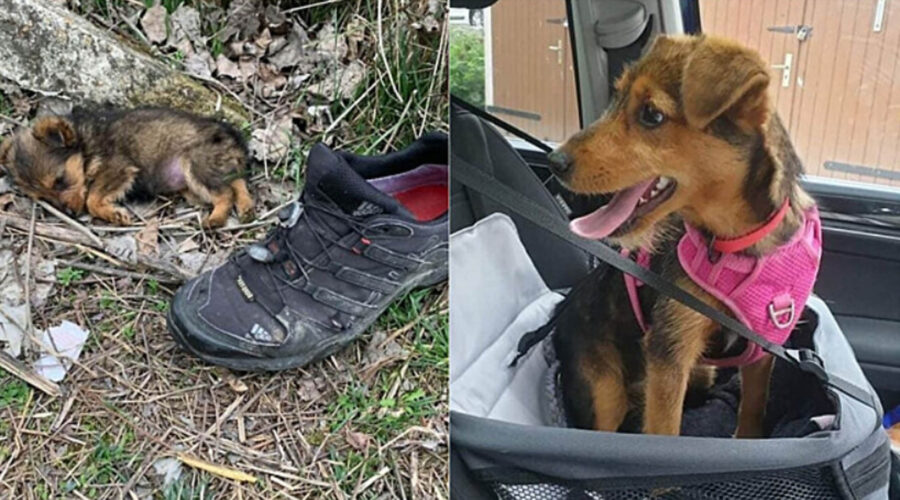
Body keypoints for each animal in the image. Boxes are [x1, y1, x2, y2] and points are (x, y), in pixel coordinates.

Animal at [0, 107, 255, 229]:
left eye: (60, 180)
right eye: (44, 198)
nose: (71, 214)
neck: (86, 145)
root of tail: (233, 138)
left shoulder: (118, 168)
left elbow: (92, 199)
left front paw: (114, 214)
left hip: (195, 164)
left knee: (225, 192)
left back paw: (216, 218)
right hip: (206, 174)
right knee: (237, 181)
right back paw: (246, 207)